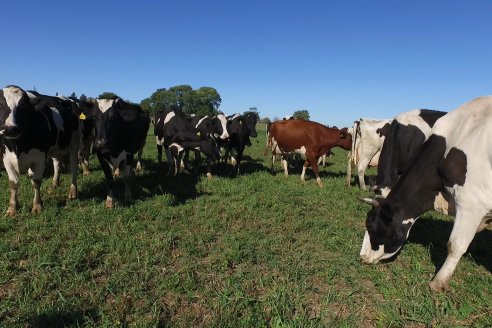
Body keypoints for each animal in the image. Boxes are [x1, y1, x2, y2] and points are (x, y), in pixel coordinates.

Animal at [0, 86, 80, 217]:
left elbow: (36, 181)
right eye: (1, 104)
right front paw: (12, 208)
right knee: (57, 163)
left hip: (75, 141)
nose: (10, 129)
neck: (18, 145)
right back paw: (54, 186)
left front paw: (37, 206)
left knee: (74, 166)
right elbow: (13, 183)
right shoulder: (6, 158)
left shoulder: (40, 158)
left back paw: (73, 192)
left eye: (23, 106)